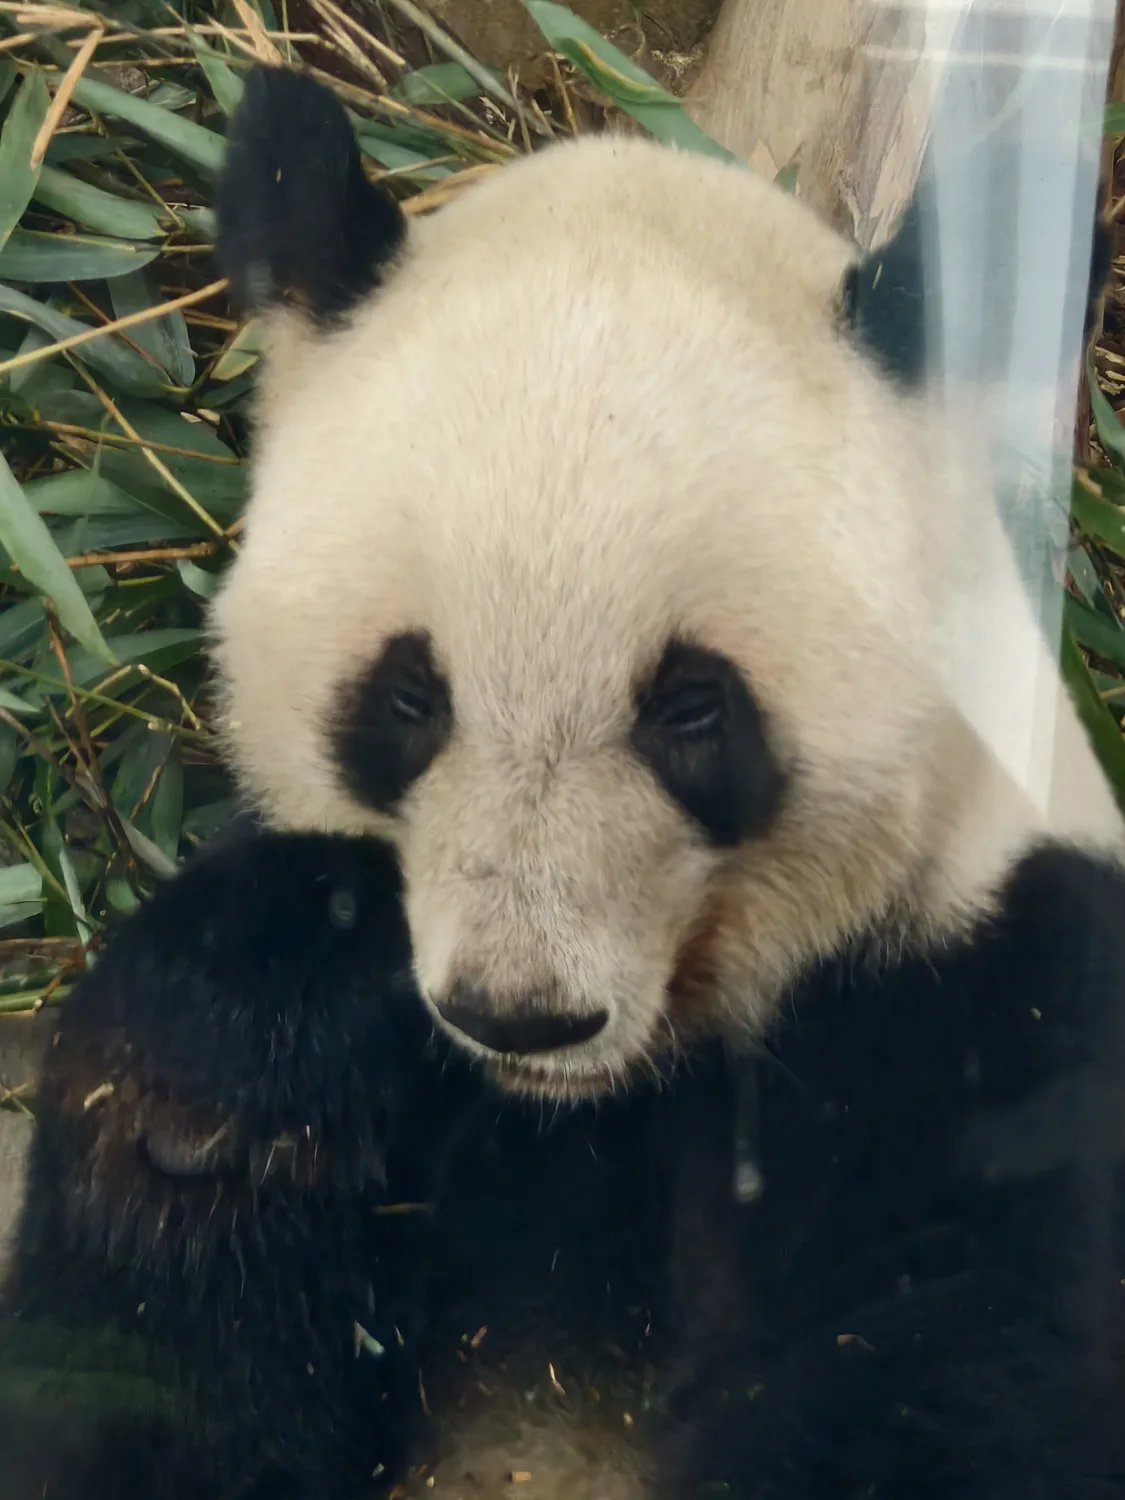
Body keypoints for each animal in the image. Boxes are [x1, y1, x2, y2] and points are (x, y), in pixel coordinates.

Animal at [4, 58, 1125, 1500]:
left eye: (691, 709)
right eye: (408, 697)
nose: (518, 1014)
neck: (589, 1105)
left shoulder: (993, 1002)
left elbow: (955, 1383)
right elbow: (130, 1372)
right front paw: (264, 1035)